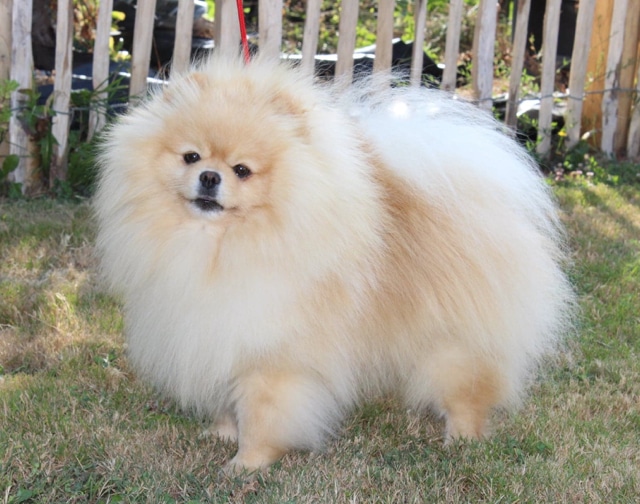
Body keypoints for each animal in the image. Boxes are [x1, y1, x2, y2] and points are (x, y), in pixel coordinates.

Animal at [96, 55, 576, 472]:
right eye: (191, 157)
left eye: (242, 170)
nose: (210, 178)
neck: (219, 247)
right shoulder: (215, 337)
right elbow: (229, 399)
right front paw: (222, 433)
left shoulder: (273, 356)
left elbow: (263, 413)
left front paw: (246, 464)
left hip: (453, 344)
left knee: (468, 390)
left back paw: (461, 439)